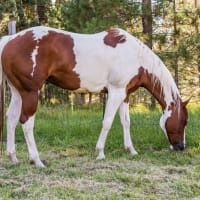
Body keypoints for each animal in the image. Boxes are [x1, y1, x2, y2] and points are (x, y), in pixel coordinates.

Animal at [0, 26, 188, 167]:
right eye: (184, 121)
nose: (181, 147)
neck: (134, 56)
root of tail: (10, 40)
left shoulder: (124, 95)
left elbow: (126, 122)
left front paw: (131, 150)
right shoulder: (115, 92)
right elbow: (107, 122)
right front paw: (100, 153)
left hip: (17, 92)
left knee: (11, 119)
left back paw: (13, 157)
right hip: (30, 92)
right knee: (26, 123)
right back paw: (37, 160)